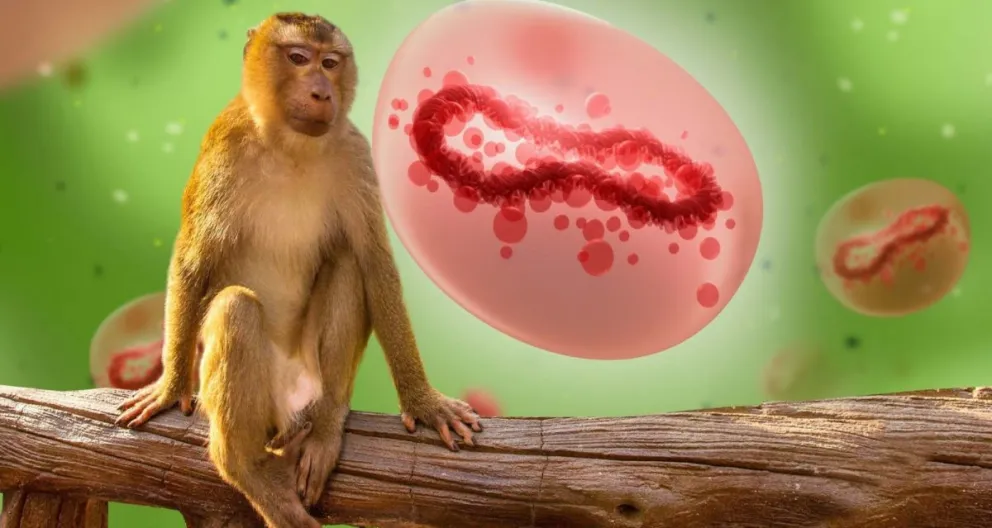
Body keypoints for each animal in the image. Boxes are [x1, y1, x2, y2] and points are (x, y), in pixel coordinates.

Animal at [113, 13, 482, 528]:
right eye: (298, 57)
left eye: (330, 63)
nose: (321, 91)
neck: (289, 146)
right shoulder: (224, 146)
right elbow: (193, 260)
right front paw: (168, 388)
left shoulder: (354, 154)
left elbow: (373, 264)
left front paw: (423, 402)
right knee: (235, 307)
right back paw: (242, 465)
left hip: (310, 379)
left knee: (347, 266)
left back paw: (325, 425)